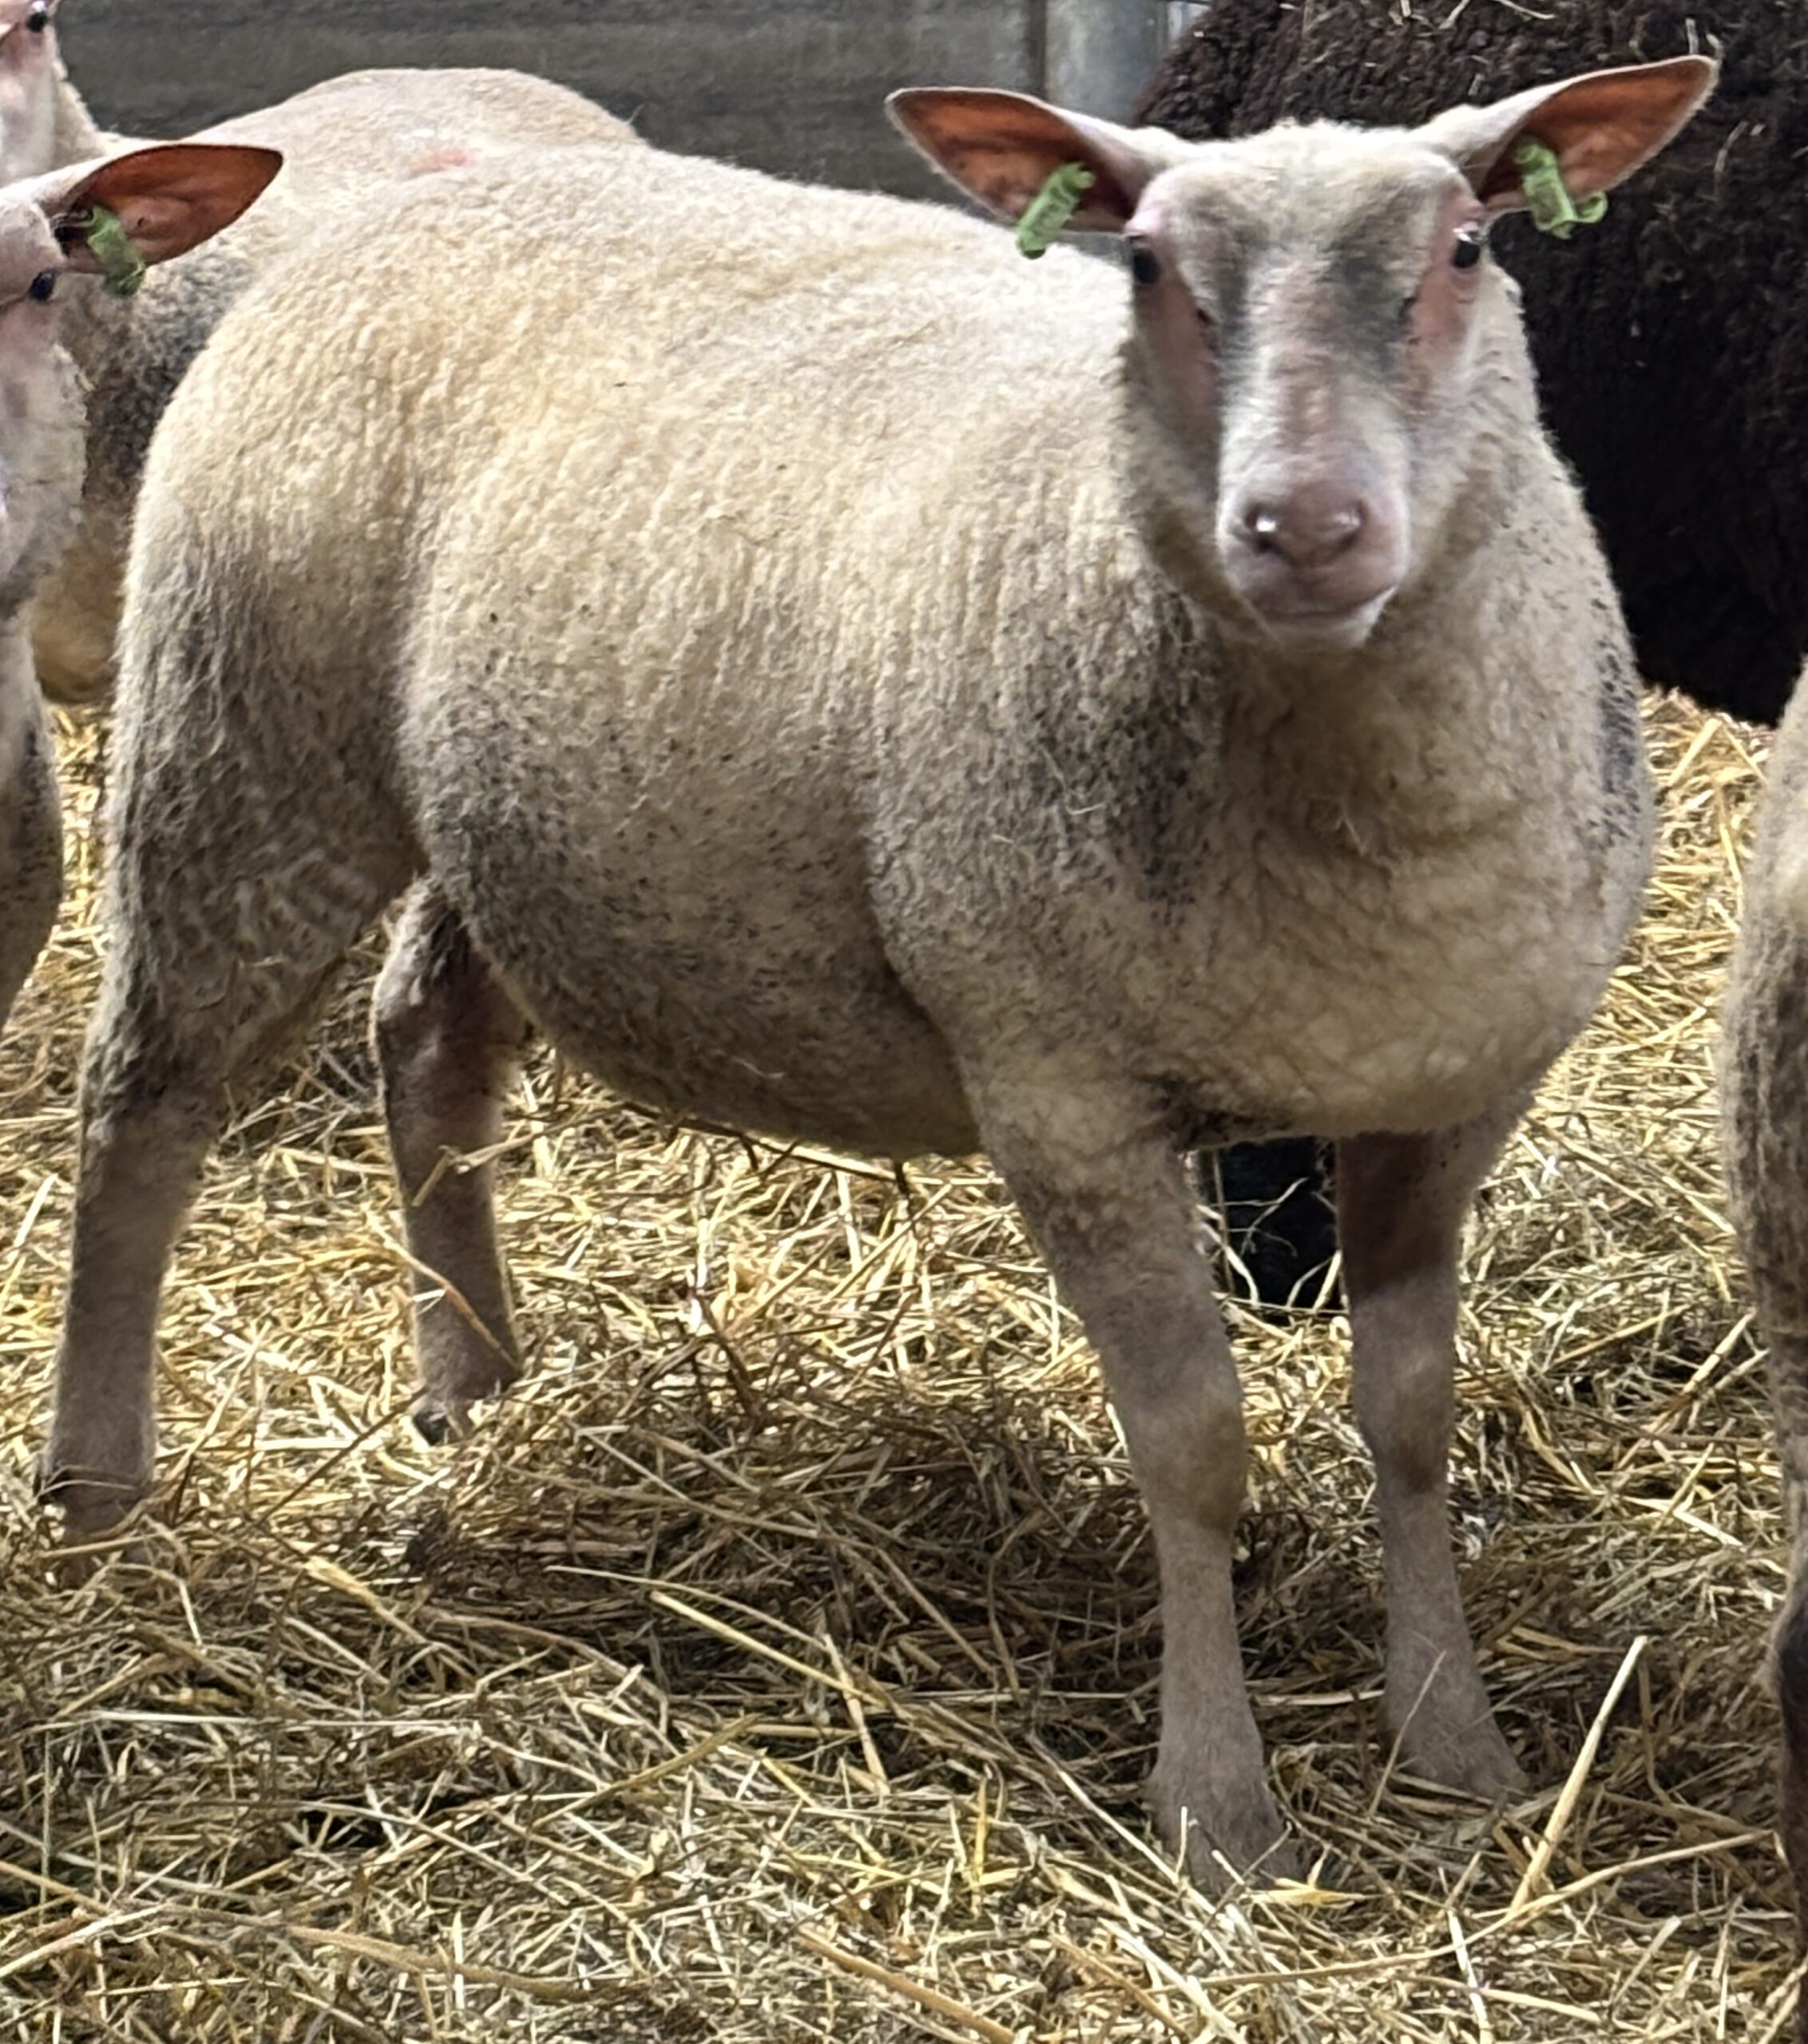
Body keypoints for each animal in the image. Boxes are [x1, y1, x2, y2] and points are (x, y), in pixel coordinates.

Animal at [41, 57, 1713, 1884]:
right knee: (143, 1114)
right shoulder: (1062, 1094)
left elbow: (1410, 1421)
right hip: (245, 737)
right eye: (1143, 267)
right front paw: (1219, 1810)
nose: (1302, 526)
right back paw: (97, 1489)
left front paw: (1456, 1751)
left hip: (496, 798)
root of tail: (406, 199)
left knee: (425, 1040)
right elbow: (1191, 1451)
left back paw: (473, 1386)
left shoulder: (1449, 1091)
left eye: (1466, 248)